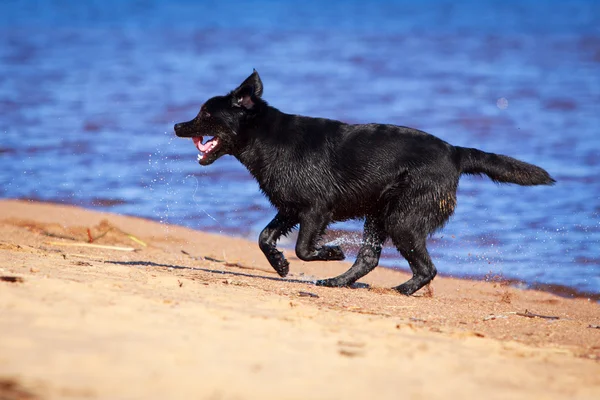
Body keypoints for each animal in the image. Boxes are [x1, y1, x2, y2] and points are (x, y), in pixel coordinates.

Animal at [176, 70, 556, 296]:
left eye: (206, 113)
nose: (178, 125)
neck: (269, 139)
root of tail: (455, 153)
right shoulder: (290, 209)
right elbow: (264, 237)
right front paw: (281, 264)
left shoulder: (316, 208)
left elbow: (303, 248)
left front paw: (331, 251)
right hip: (380, 213)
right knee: (371, 259)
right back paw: (338, 282)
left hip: (401, 218)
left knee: (426, 267)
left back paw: (399, 290)